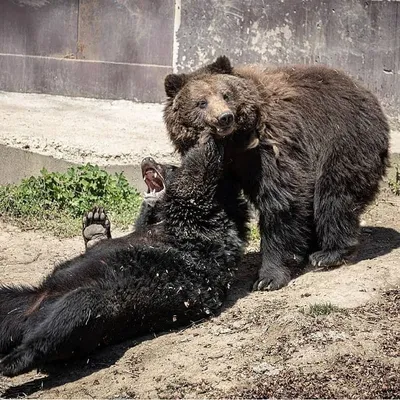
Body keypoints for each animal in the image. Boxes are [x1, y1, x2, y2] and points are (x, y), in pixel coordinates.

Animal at [163, 54, 390, 290]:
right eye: (201, 102)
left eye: (226, 94)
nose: (224, 117)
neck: (233, 144)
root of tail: (367, 93)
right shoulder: (219, 166)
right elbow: (222, 203)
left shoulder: (271, 144)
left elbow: (281, 199)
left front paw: (268, 277)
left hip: (344, 138)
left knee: (334, 194)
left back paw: (328, 253)